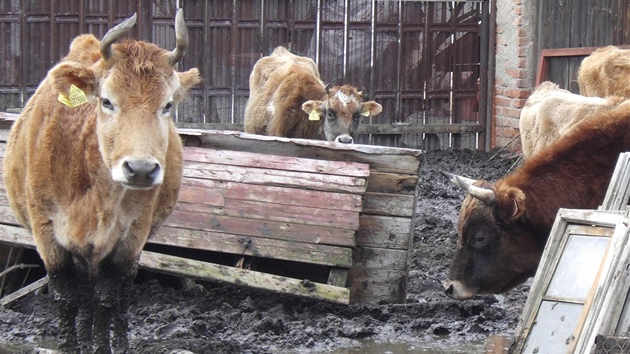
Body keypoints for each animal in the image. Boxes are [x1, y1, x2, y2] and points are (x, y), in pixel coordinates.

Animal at [2, 9, 200, 352]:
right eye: (107, 101)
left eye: (167, 105)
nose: (140, 169)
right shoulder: (46, 233)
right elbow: (67, 298)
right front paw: (70, 345)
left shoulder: (132, 236)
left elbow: (109, 299)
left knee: (113, 296)